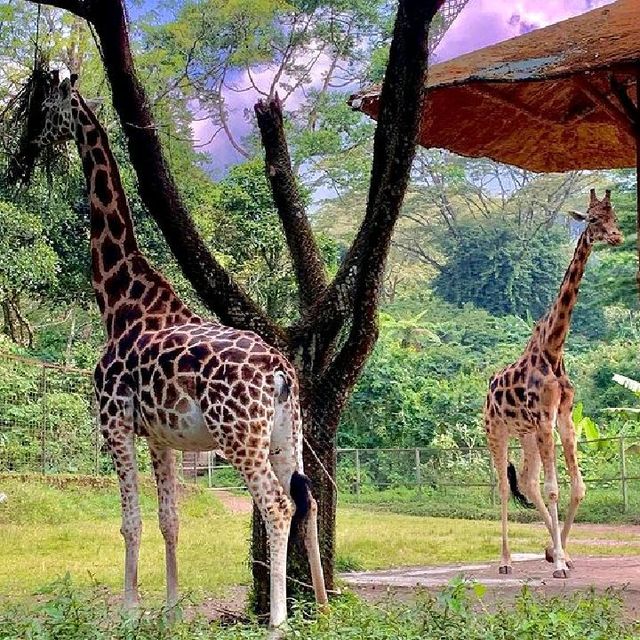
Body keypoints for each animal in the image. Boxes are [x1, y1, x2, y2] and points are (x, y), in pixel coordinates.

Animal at [32, 75, 328, 632]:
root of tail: (280, 369)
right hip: (287, 435)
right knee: (308, 500)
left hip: (240, 437)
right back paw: (321, 606)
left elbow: (130, 521)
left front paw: (129, 612)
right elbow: (170, 520)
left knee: (278, 507)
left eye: (46, 104)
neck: (121, 305)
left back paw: (277, 619)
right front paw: (170, 611)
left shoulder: (115, 423)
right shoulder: (160, 436)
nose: (34, 136)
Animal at [482, 188, 624, 576]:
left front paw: (557, 552)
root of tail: (487, 389)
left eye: (614, 216)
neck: (552, 348)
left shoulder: (562, 416)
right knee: (504, 486)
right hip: (496, 431)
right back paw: (505, 561)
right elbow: (554, 488)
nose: (617, 237)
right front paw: (558, 560)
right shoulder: (545, 418)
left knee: (527, 482)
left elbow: (577, 487)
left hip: (527, 434)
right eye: (593, 219)